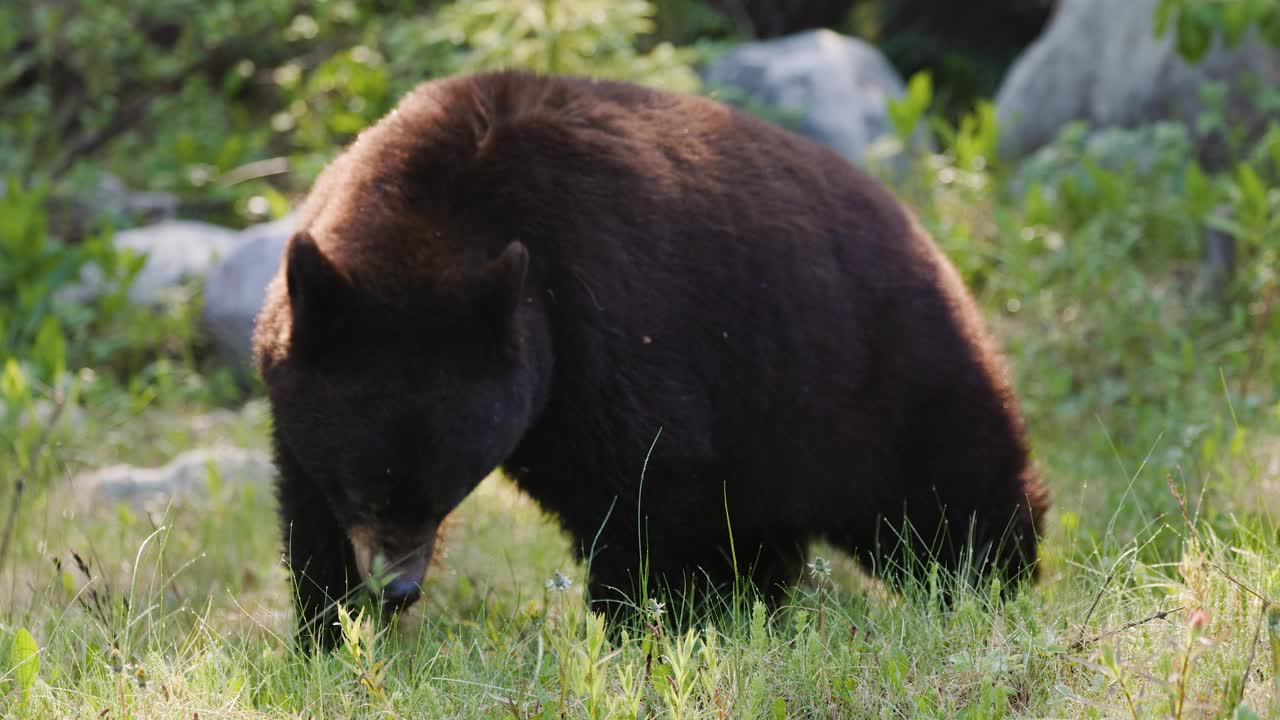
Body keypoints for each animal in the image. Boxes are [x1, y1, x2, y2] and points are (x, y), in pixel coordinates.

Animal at [252, 70, 1049, 648]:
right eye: (364, 488)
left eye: (446, 490)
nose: (397, 590)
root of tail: (925, 236)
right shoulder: (304, 374)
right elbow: (306, 511)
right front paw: (326, 633)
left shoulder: (608, 317)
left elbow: (639, 485)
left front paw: (644, 627)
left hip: (875, 377)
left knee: (949, 497)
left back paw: (993, 587)